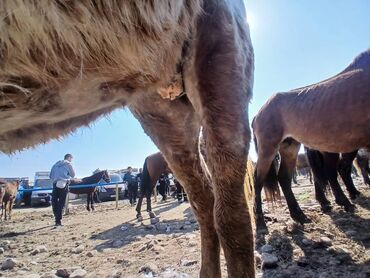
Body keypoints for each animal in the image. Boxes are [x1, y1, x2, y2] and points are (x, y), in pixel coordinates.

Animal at [253, 48, 370, 231]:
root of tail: (258, 113)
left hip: (290, 146)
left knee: (284, 178)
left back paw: (299, 215)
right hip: (268, 148)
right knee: (258, 179)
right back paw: (260, 222)